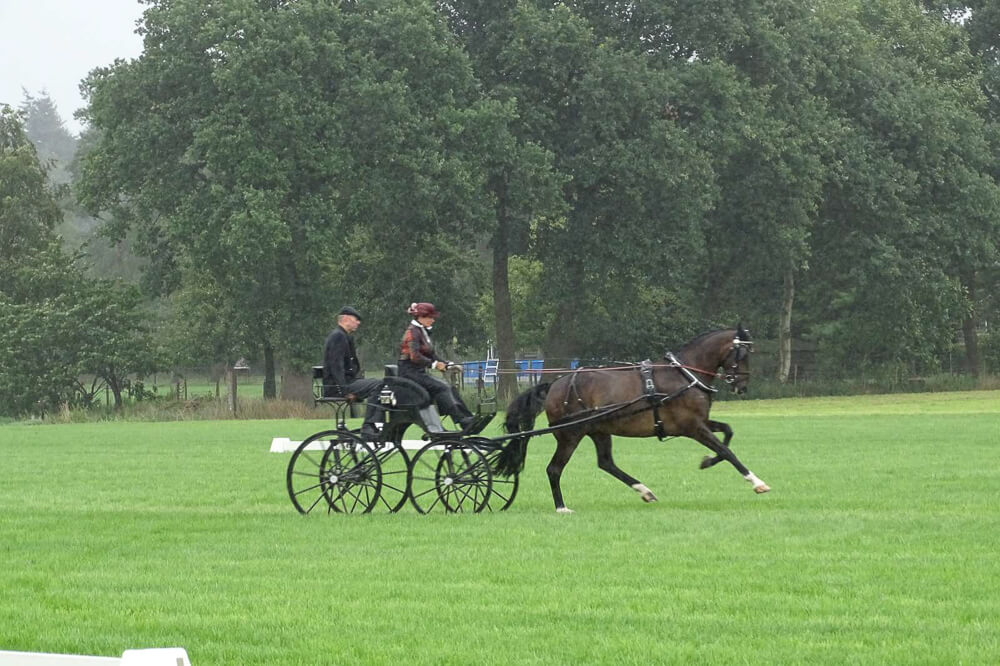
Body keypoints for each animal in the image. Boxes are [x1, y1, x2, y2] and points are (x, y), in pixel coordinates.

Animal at [496, 324, 768, 510]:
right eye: (742, 355)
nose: (742, 387)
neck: (685, 375)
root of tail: (555, 385)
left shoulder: (699, 423)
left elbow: (728, 432)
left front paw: (707, 461)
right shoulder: (693, 427)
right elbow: (726, 450)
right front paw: (756, 482)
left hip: (599, 431)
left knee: (606, 463)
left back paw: (644, 491)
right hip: (570, 435)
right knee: (554, 469)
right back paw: (562, 507)